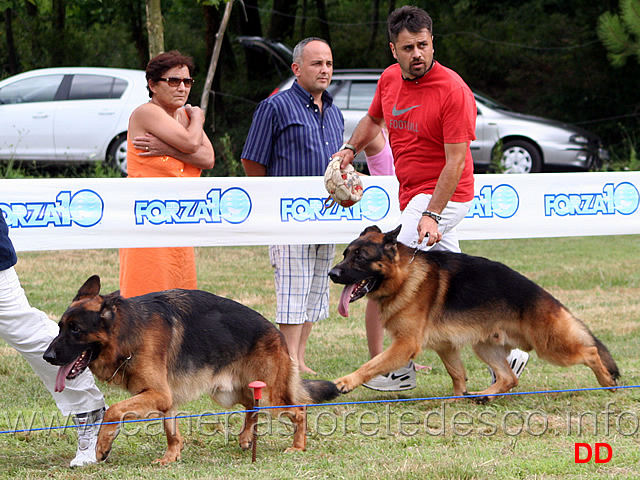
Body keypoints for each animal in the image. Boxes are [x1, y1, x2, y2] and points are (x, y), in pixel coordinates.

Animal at [44, 276, 340, 464]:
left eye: (76, 330)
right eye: (59, 327)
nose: (47, 356)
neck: (127, 332)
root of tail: (276, 333)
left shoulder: (158, 394)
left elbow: (114, 410)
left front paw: (102, 446)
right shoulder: (165, 398)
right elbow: (171, 430)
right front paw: (171, 457)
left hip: (269, 396)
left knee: (298, 410)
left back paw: (298, 446)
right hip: (230, 392)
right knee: (250, 406)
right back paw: (246, 437)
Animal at [328, 227, 616, 400]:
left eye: (360, 258)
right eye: (345, 254)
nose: (332, 273)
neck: (403, 275)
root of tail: (546, 296)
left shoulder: (404, 345)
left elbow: (371, 364)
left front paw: (345, 382)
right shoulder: (445, 346)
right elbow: (457, 373)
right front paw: (457, 398)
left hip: (550, 346)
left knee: (591, 352)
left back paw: (607, 382)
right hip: (485, 347)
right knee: (509, 378)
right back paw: (486, 394)